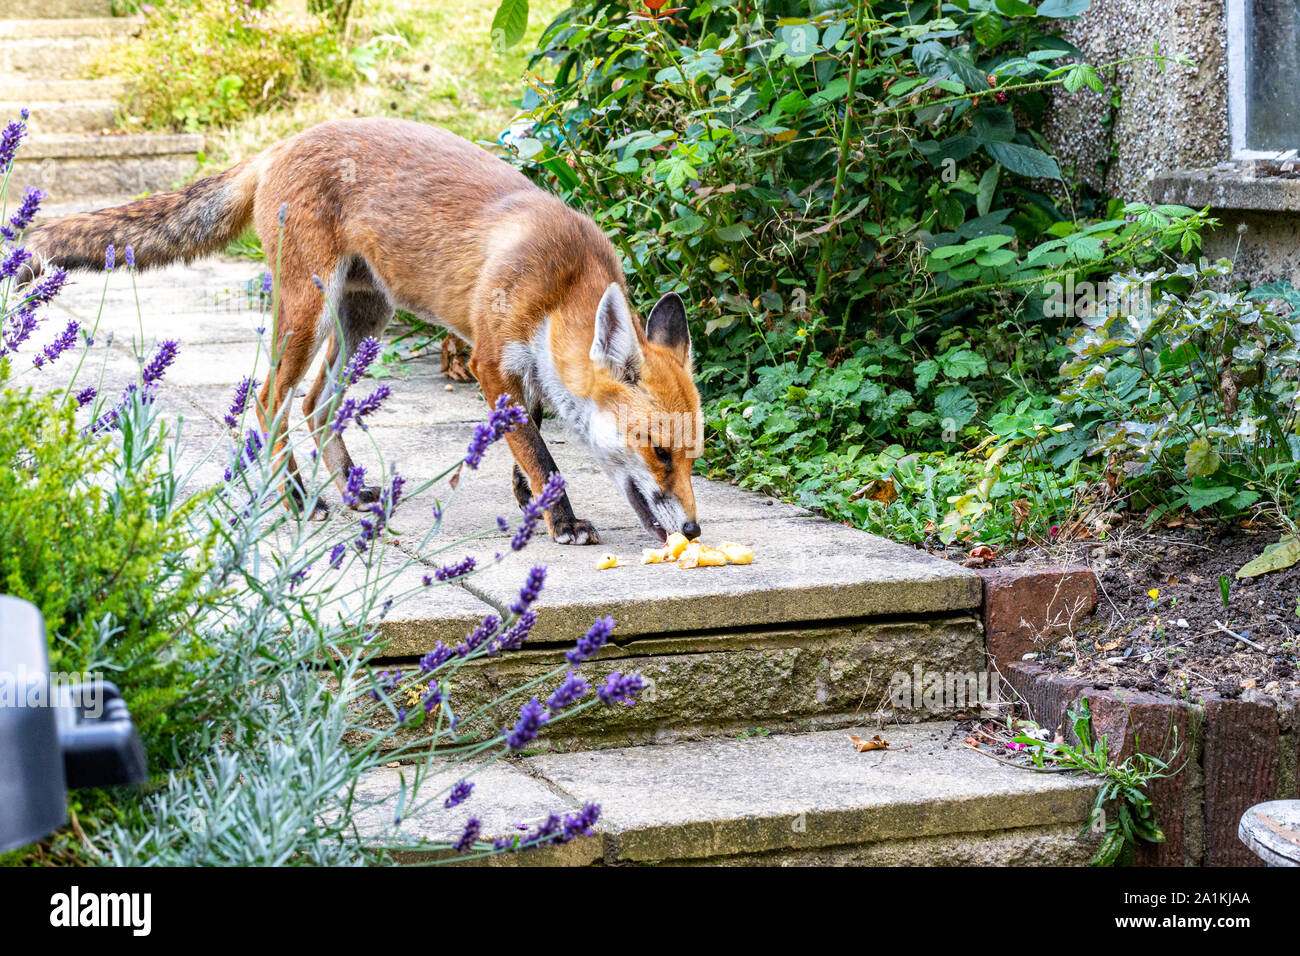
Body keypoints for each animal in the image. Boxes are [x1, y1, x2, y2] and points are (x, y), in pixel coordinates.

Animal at [25, 117, 703, 545]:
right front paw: (561, 522)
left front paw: (531, 505)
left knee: (315, 403)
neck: (561, 284)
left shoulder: (528, 370)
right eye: (659, 451)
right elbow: (538, 453)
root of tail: (281, 143)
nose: (695, 530)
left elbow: (527, 446)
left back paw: (349, 493)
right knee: (271, 402)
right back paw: (300, 499)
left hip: (363, 318)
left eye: (693, 455)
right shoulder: (491, 360)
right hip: (310, 310)